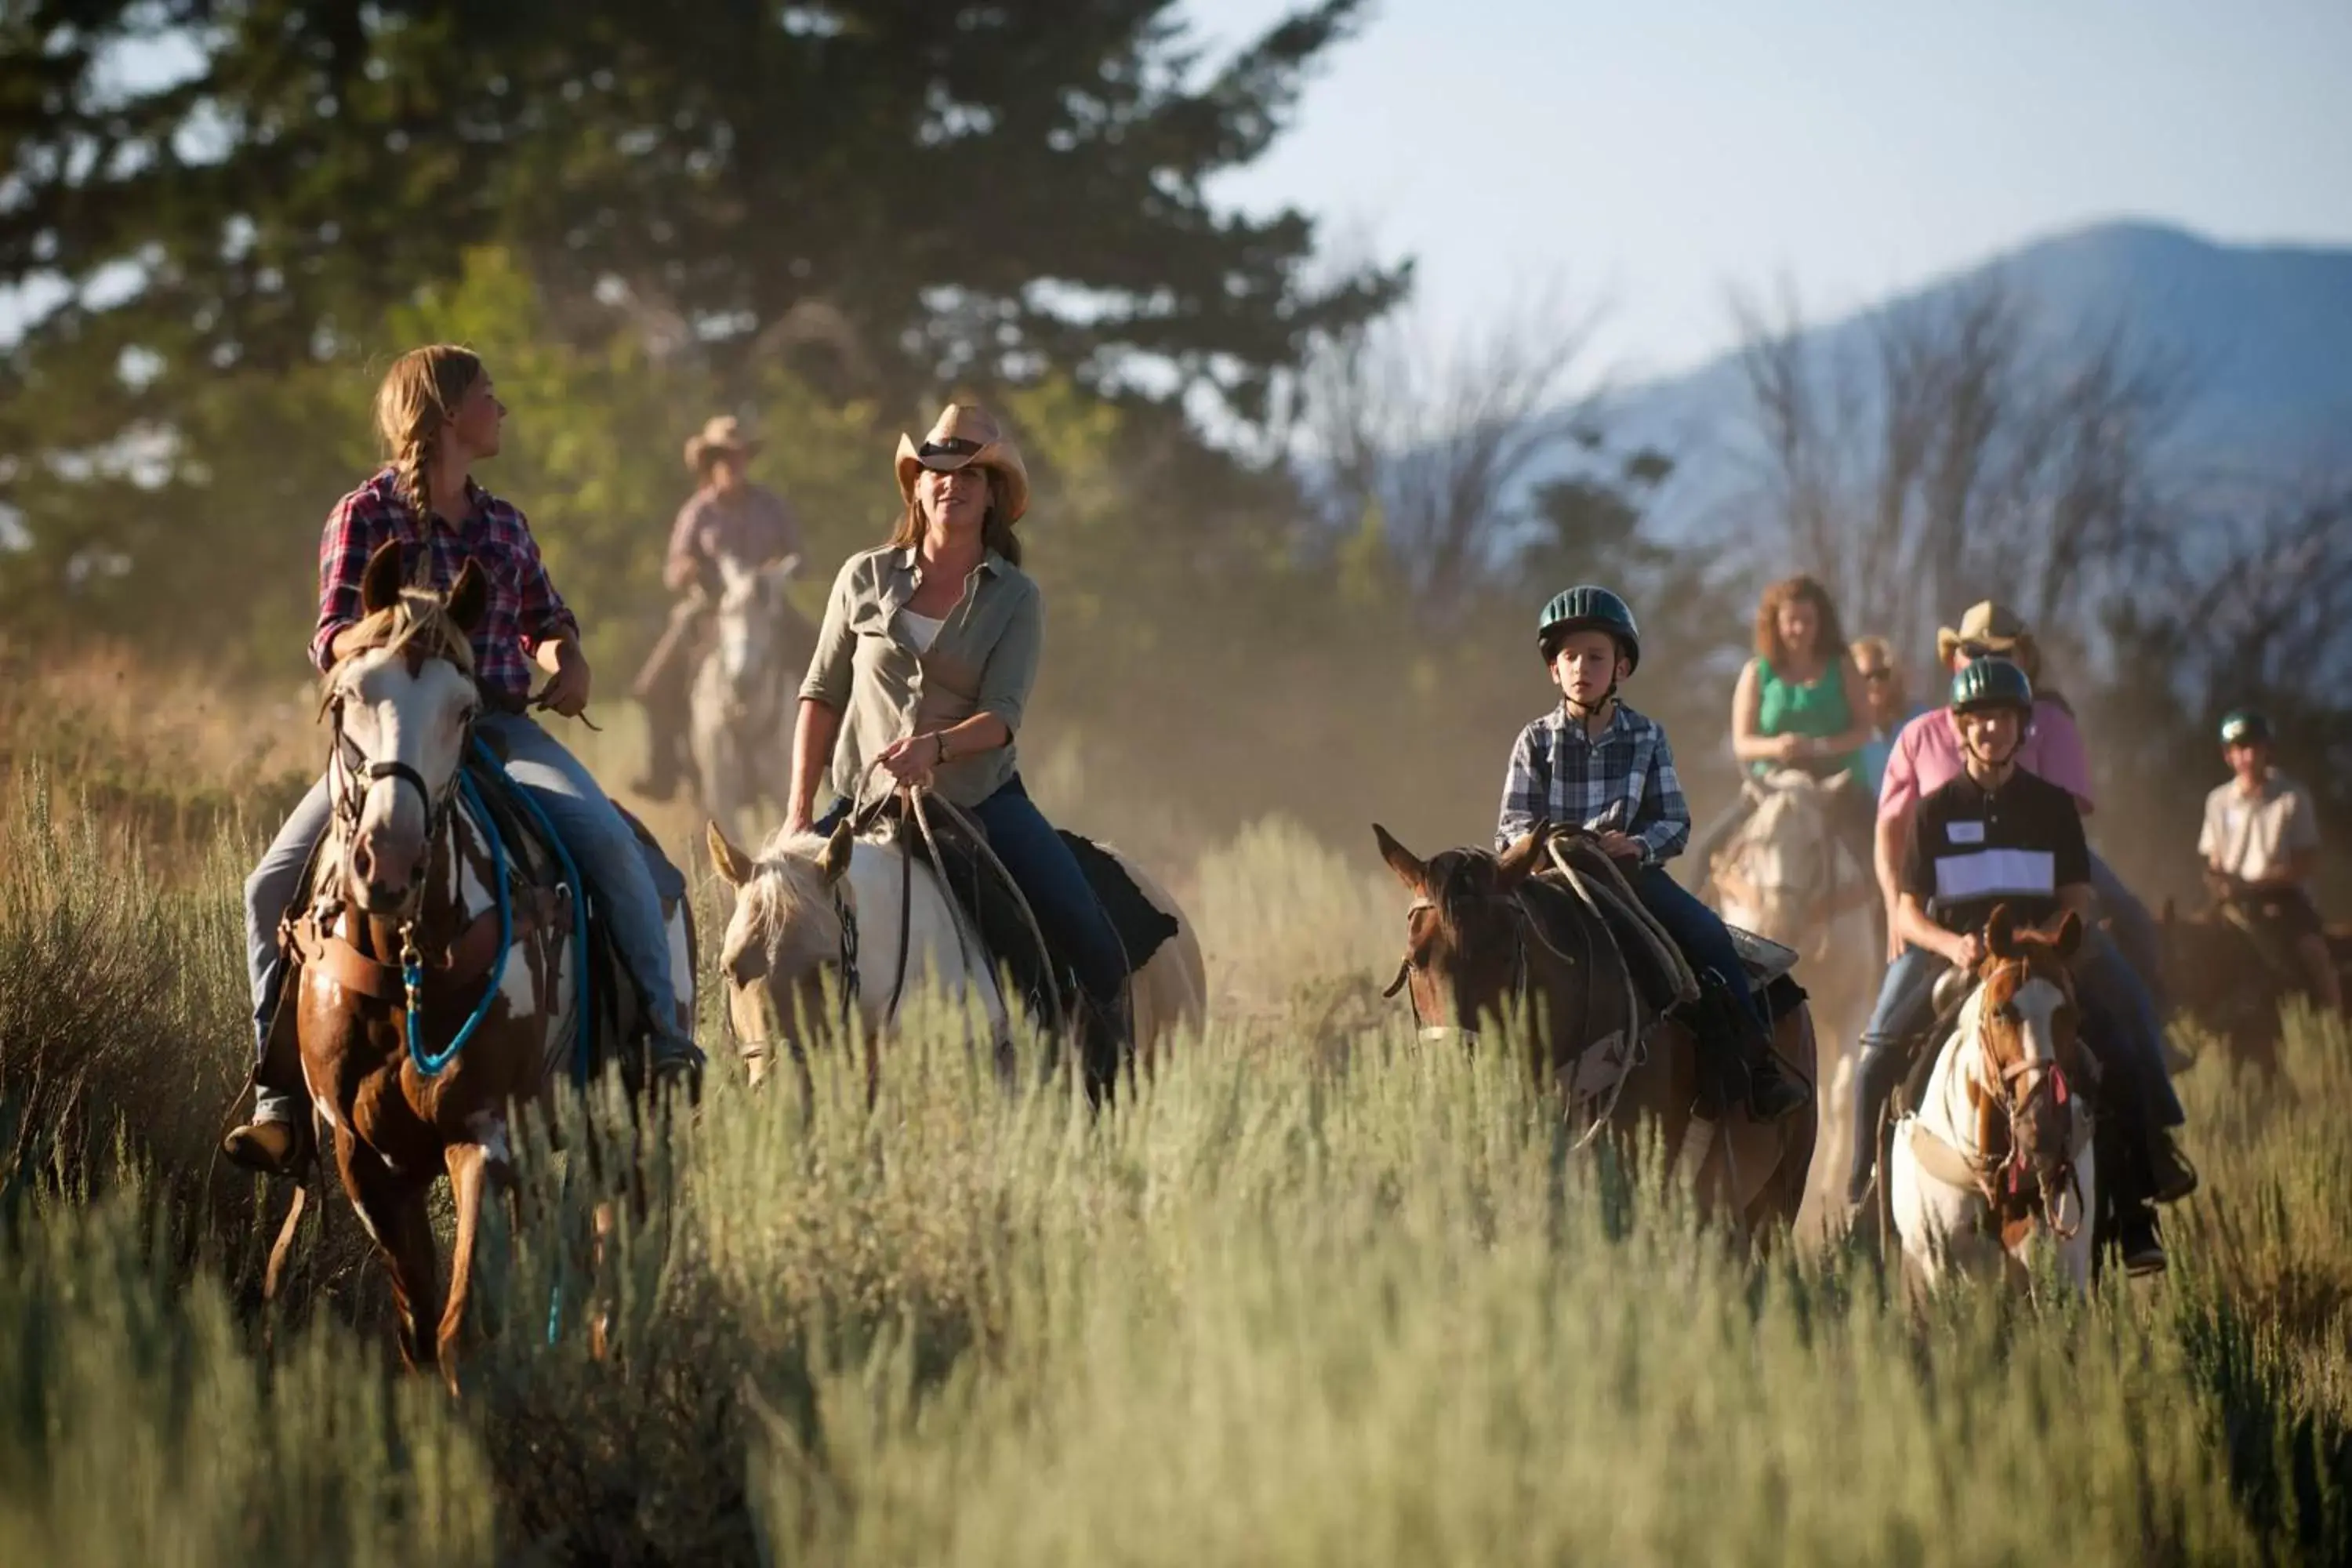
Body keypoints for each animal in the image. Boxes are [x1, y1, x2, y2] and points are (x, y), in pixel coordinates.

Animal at [283, 543, 687, 1382]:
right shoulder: (366, 1161)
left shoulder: (486, 1138)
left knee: (621, 1271)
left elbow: (460, 1328)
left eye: (464, 711)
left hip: (631, 1130)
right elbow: (417, 1328)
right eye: (345, 700)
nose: (389, 861)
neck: (404, 967)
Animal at [687, 552, 818, 846]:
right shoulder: (722, 798)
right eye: (727, 612)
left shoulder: (781, 789)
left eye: (772, 618)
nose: (743, 678)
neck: (746, 717)